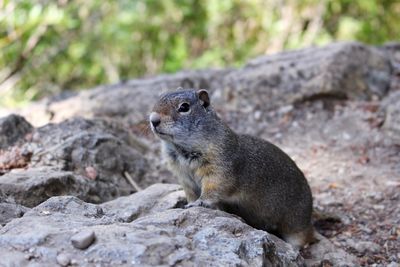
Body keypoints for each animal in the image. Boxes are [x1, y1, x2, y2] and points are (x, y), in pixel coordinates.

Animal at [150, 88, 316, 249]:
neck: (181, 150)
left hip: (296, 221)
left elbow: (213, 188)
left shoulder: (219, 167)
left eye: (184, 107)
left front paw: (198, 203)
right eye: (159, 98)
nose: (153, 120)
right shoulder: (184, 178)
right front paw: (188, 204)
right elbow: (191, 193)